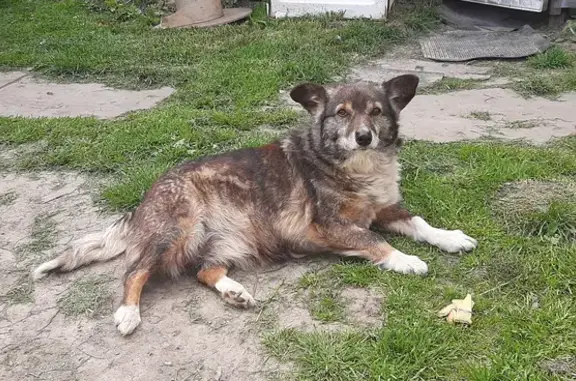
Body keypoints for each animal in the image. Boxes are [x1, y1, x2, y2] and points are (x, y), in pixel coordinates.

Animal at [31, 74, 476, 336]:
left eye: (377, 111)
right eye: (341, 114)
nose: (364, 137)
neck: (352, 165)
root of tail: (145, 197)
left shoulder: (384, 210)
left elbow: (420, 222)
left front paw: (451, 238)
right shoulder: (327, 227)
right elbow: (374, 242)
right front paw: (406, 260)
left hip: (229, 242)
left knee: (204, 271)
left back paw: (235, 292)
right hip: (179, 230)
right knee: (134, 271)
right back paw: (127, 314)